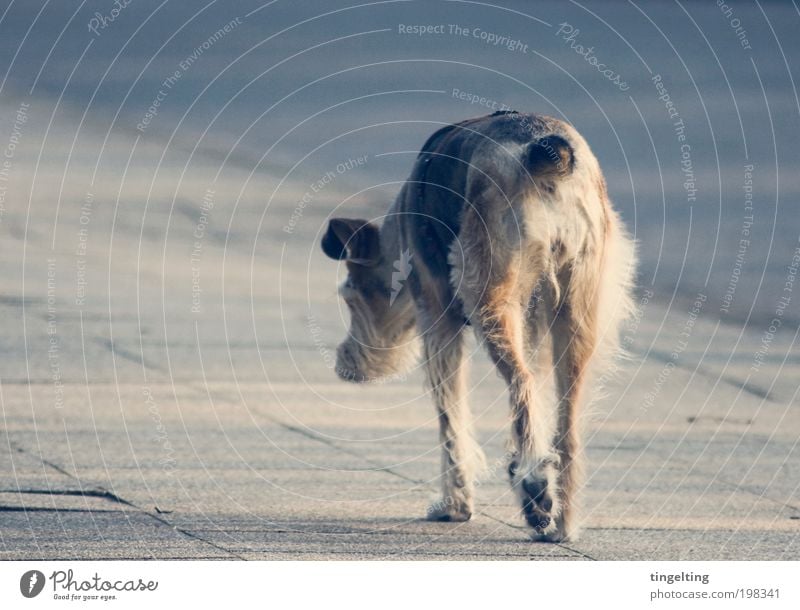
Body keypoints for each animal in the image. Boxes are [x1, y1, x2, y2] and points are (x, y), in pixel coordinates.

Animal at [322, 111, 636, 540]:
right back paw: (559, 520)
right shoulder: (532, 326)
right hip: (576, 311)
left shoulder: (438, 317)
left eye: (350, 294)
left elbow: (450, 418)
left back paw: (536, 490)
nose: (344, 365)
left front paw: (455, 505)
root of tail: (546, 156)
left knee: (520, 384)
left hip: (489, 295)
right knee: (563, 422)